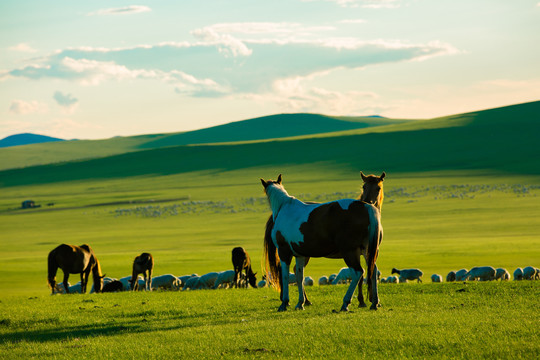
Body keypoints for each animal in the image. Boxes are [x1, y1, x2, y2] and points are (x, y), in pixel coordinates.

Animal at [262, 173, 384, 310]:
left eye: (378, 188)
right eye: (364, 187)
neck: (284, 207)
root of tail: (367, 207)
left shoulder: (284, 252)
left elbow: (285, 276)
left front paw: (284, 302)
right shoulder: (299, 255)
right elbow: (299, 276)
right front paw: (300, 303)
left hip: (350, 252)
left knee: (358, 272)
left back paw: (345, 303)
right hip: (367, 251)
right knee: (372, 270)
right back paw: (374, 302)